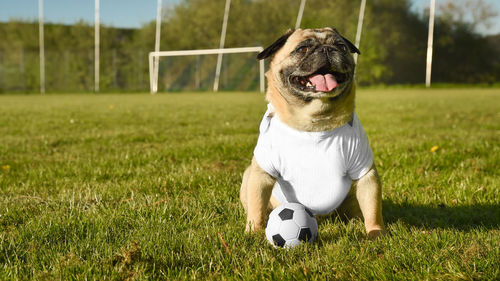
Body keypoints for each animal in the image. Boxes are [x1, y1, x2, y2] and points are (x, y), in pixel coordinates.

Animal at [240, 27, 384, 238]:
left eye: (341, 47)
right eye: (303, 49)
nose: (326, 49)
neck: (314, 123)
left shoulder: (365, 173)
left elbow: (373, 209)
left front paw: (375, 232)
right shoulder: (262, 174)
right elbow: (256, 206)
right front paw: (254, 232)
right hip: (248, 176)